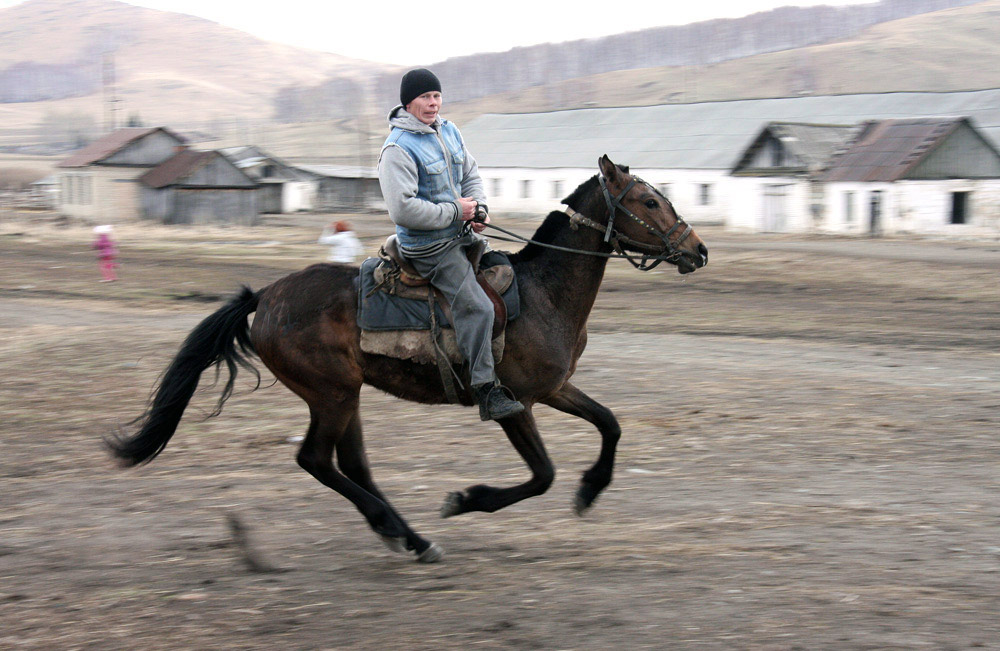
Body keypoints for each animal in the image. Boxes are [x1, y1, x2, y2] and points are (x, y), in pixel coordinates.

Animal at [109, 155, 708, 564]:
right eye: (649, 202)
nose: (698, 250)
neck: (543, 293)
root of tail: (265, 298)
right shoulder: (514, 403)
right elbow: (542, 474)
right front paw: (465, 499)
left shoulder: (555, 389)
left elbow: (610, 423)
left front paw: (590, 490)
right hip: (331, 394)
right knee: (317, 461)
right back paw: (405, 533)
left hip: (345, 395)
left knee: (350, 465)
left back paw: (408, 537)